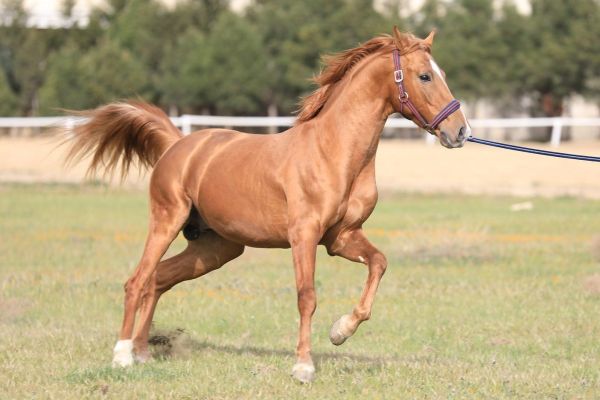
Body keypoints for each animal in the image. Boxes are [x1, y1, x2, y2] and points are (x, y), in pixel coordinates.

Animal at [65, 27, 470, 383]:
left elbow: (379, 264)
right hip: (166, 221)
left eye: (442, 74)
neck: (333, 151)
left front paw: (340, 331)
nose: (460, 131)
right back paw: (122, 356)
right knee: (136, 281)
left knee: (158, 279)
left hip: (216, 248)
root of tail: (177, 143)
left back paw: (142, 352)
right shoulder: (303, 235)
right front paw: (303, 367)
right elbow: (307, 297)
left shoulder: (341, 237)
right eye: (424, 76)